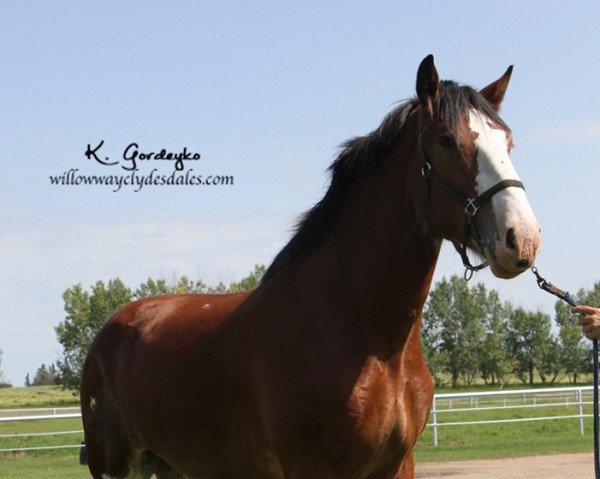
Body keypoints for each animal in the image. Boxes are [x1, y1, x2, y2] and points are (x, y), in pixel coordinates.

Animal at [78, 54, 540, 478]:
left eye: (508, 143)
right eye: (446, 140)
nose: (522, 238)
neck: (368, 338)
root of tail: (113, 327)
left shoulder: (397, 464)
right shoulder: (311, 467)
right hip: (115, 466)